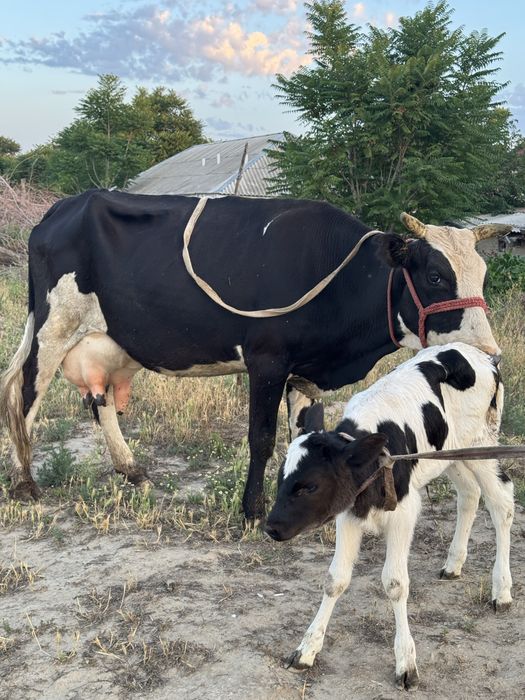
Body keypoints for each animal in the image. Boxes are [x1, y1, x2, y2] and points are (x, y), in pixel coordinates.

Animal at [0, 190, 510, 520]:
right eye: (435, 276)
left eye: (482, 274)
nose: (486, 352)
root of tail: (62, 207)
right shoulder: (267, 360)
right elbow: (261, 438)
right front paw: (251, 510)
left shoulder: (305, 371)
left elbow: (305, 433)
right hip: (53, 328)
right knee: (24, 397)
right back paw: (25, 483)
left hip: (107, 341)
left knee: (100, 400)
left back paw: (132, 469)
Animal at [265, 342, 514, 690]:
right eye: (281, 478)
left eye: (310, 486)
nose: (271, 527)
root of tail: (480, 355)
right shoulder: (349, 511)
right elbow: (334, 580)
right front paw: (306, 649)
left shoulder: (404, 512)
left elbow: (395, 583)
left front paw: (406, 663)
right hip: (449, 455)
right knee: (469, 494)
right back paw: (454, 564)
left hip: (482, 443)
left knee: (501, 502)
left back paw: (501, 590)